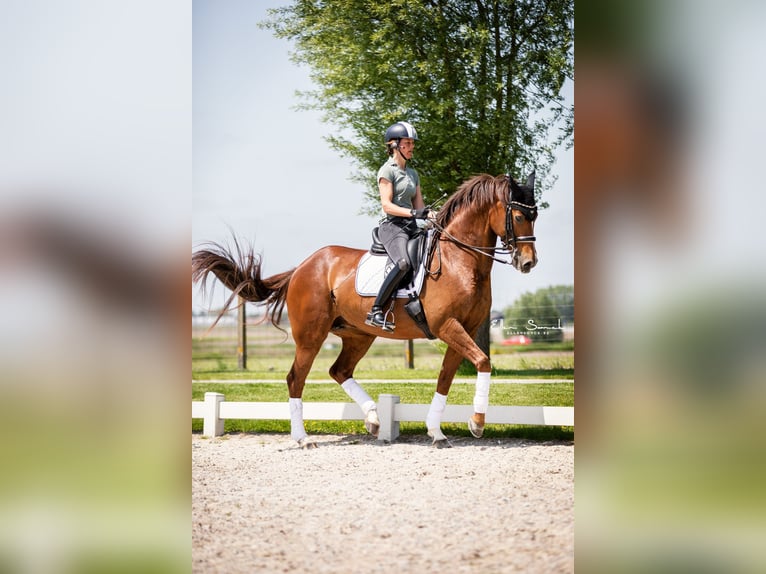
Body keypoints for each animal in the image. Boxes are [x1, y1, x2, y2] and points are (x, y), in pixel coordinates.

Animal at [192, 172, 538, 447]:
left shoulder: (463, 329)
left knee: (339, 371)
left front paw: (437, 431)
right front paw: (477, 423)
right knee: (295, 379)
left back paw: (373, 418)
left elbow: (447, 378)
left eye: (535, 215)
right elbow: (482, 362)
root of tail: (302, 266)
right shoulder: (447, 326)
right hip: (311, 336)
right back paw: (303, 438)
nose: (528, 263)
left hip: (359, 335)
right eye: (520, 217)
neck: (458, 260)